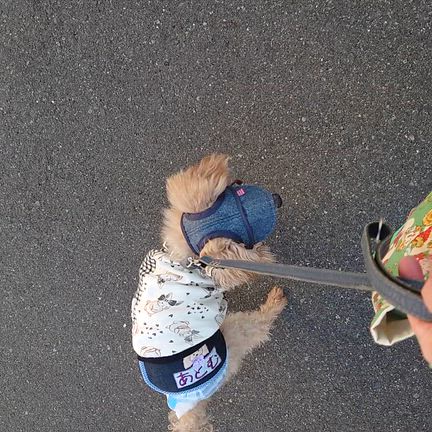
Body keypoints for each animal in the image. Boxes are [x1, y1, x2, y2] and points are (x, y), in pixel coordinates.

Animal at [132, 154, 287, 431]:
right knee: (258, 326)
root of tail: (186, 404)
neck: (187, 260)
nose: (278, 198)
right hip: (233, 334)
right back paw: (275, 302)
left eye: (238, 185)